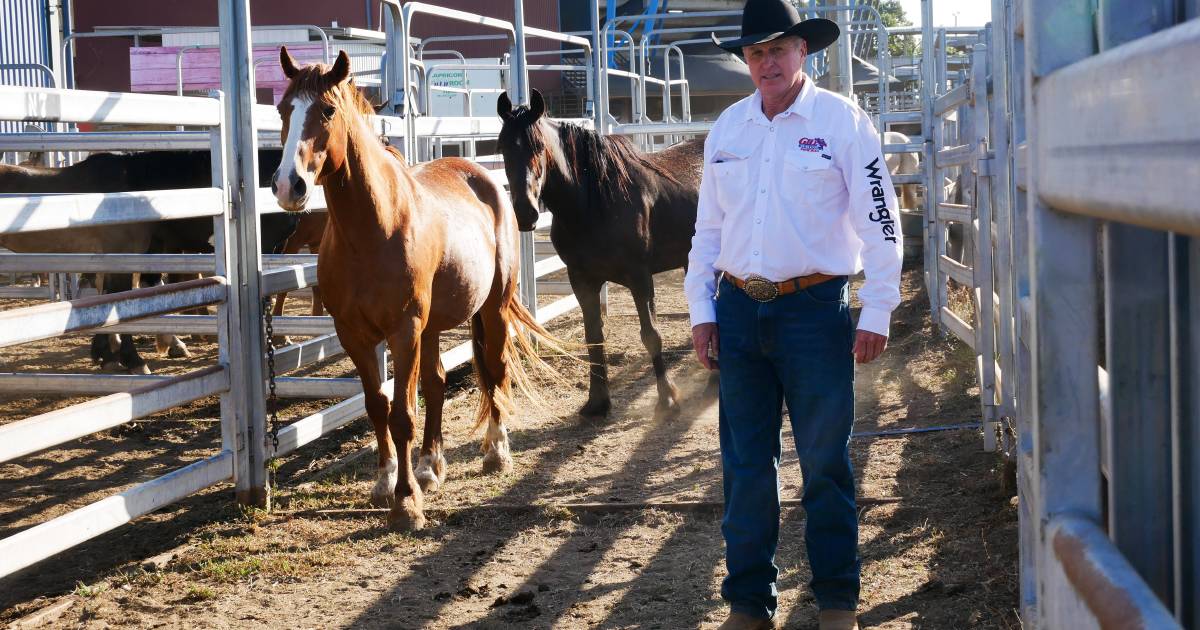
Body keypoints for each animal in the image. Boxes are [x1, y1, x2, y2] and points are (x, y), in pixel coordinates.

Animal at [273, 50, 556, 530]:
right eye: (282, 110)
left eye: (327, 110)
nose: (287, 185)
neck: (373, 226)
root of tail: (482, 177)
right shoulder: (354, 334)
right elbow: (377, 405)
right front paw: (386, 481)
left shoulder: (403, 329)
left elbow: (403, 413)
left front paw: (406, 503)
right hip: (434, 325)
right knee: (438, 382)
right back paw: (429, 465)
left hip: (492, 308)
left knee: (494, 368)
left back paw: (496, 451)